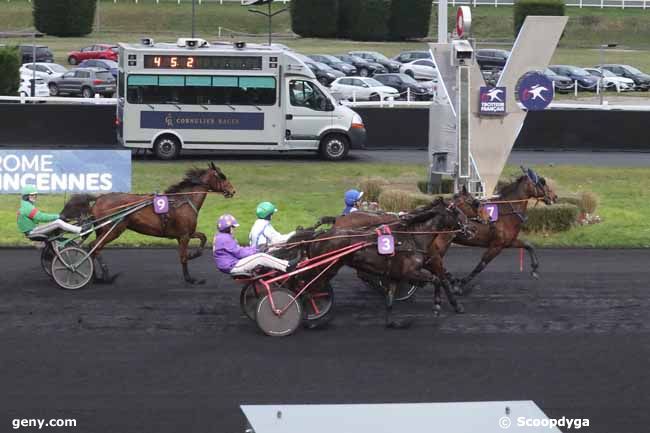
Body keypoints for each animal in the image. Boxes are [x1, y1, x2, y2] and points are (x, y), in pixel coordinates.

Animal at [60, 162, 235, 284]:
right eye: (222, 176)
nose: (232, 191)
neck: (183, 201)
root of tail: (99, 199)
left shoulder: (184, 234)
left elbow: (203, 238)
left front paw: (194, 254)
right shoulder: (184, 235)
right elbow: (183, 257)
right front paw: (190, 278)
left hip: (103, 229)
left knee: (93, 248)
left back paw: (95, 276)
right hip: (115, 229)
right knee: (94, 247)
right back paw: (104, 276)